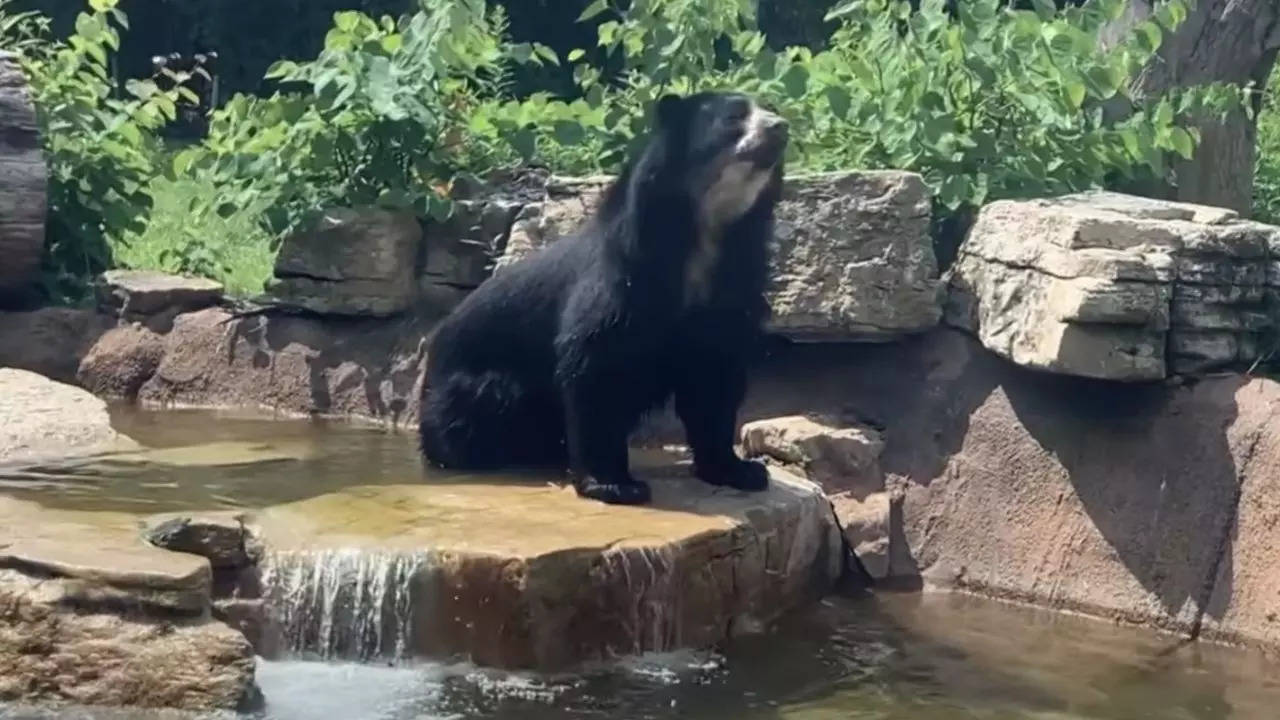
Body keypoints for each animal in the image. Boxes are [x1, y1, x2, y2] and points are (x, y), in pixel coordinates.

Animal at [419, 89, 783, 502]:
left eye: (771, 110)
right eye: (733, 117)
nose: (780, 127)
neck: (707, 234)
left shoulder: (729, 290)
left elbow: (715, 378)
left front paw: (741, 471)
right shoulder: (622, 283)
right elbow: (598, 367)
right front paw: (616, 485)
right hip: (474, 388)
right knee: (483, 407)